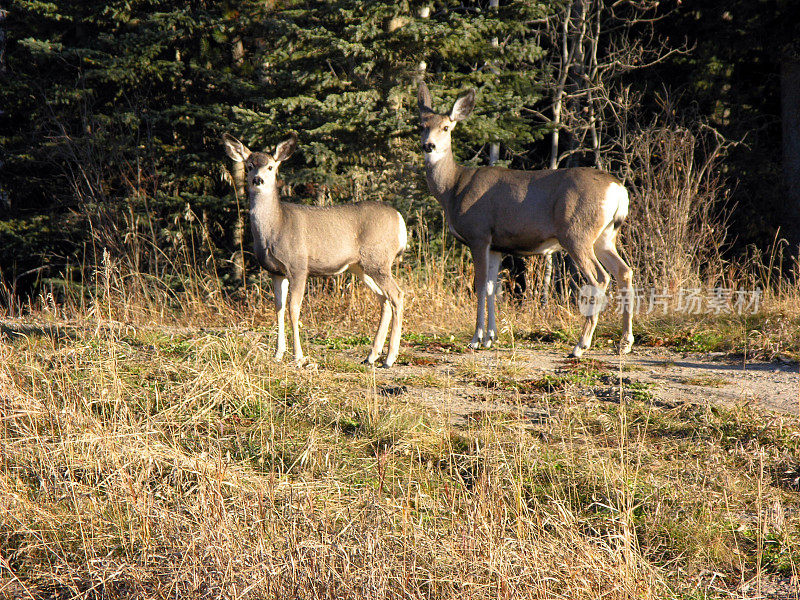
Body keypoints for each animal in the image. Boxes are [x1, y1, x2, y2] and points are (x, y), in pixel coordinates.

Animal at [223, 132, 406, 366]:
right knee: (384, 299)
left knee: (397, 295)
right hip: (360, 266)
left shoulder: (298, 265)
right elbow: (278, 308)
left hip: (378, 259)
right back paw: (371, 356)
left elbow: (293, 309)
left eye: (271, 167)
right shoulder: (275, 271)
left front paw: (298, 357)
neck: (276, 227)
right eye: (249, 166)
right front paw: (278, 354)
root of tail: (399, 218)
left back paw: (390, 358)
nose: (258, 180)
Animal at [418, 83, 632, 356]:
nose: (429, 146)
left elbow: (480, 285)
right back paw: (625, 342)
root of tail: (618, 189)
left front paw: (476, 339)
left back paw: (580, 345)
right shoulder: (496, 245)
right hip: (605, 236)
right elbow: (492, 287)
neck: (453, 189)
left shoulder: (478, 234)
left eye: (446, 127)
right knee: (624, 271)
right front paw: (491, 337)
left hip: (577, 232)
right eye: (422, 125)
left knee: (600, 277)